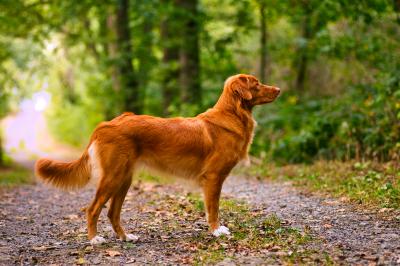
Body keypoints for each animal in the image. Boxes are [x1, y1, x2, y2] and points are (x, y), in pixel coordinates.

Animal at [34, 74, 280, 244]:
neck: (232, 115)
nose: (279, 89)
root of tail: (107, 124)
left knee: (113, 212)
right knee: (92, 208)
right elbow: (214, 208)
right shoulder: (213, 177)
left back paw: (126, 237)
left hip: (124, 178)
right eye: (257, 84)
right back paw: (94, 239)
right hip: (113, 177)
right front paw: (216, 230)